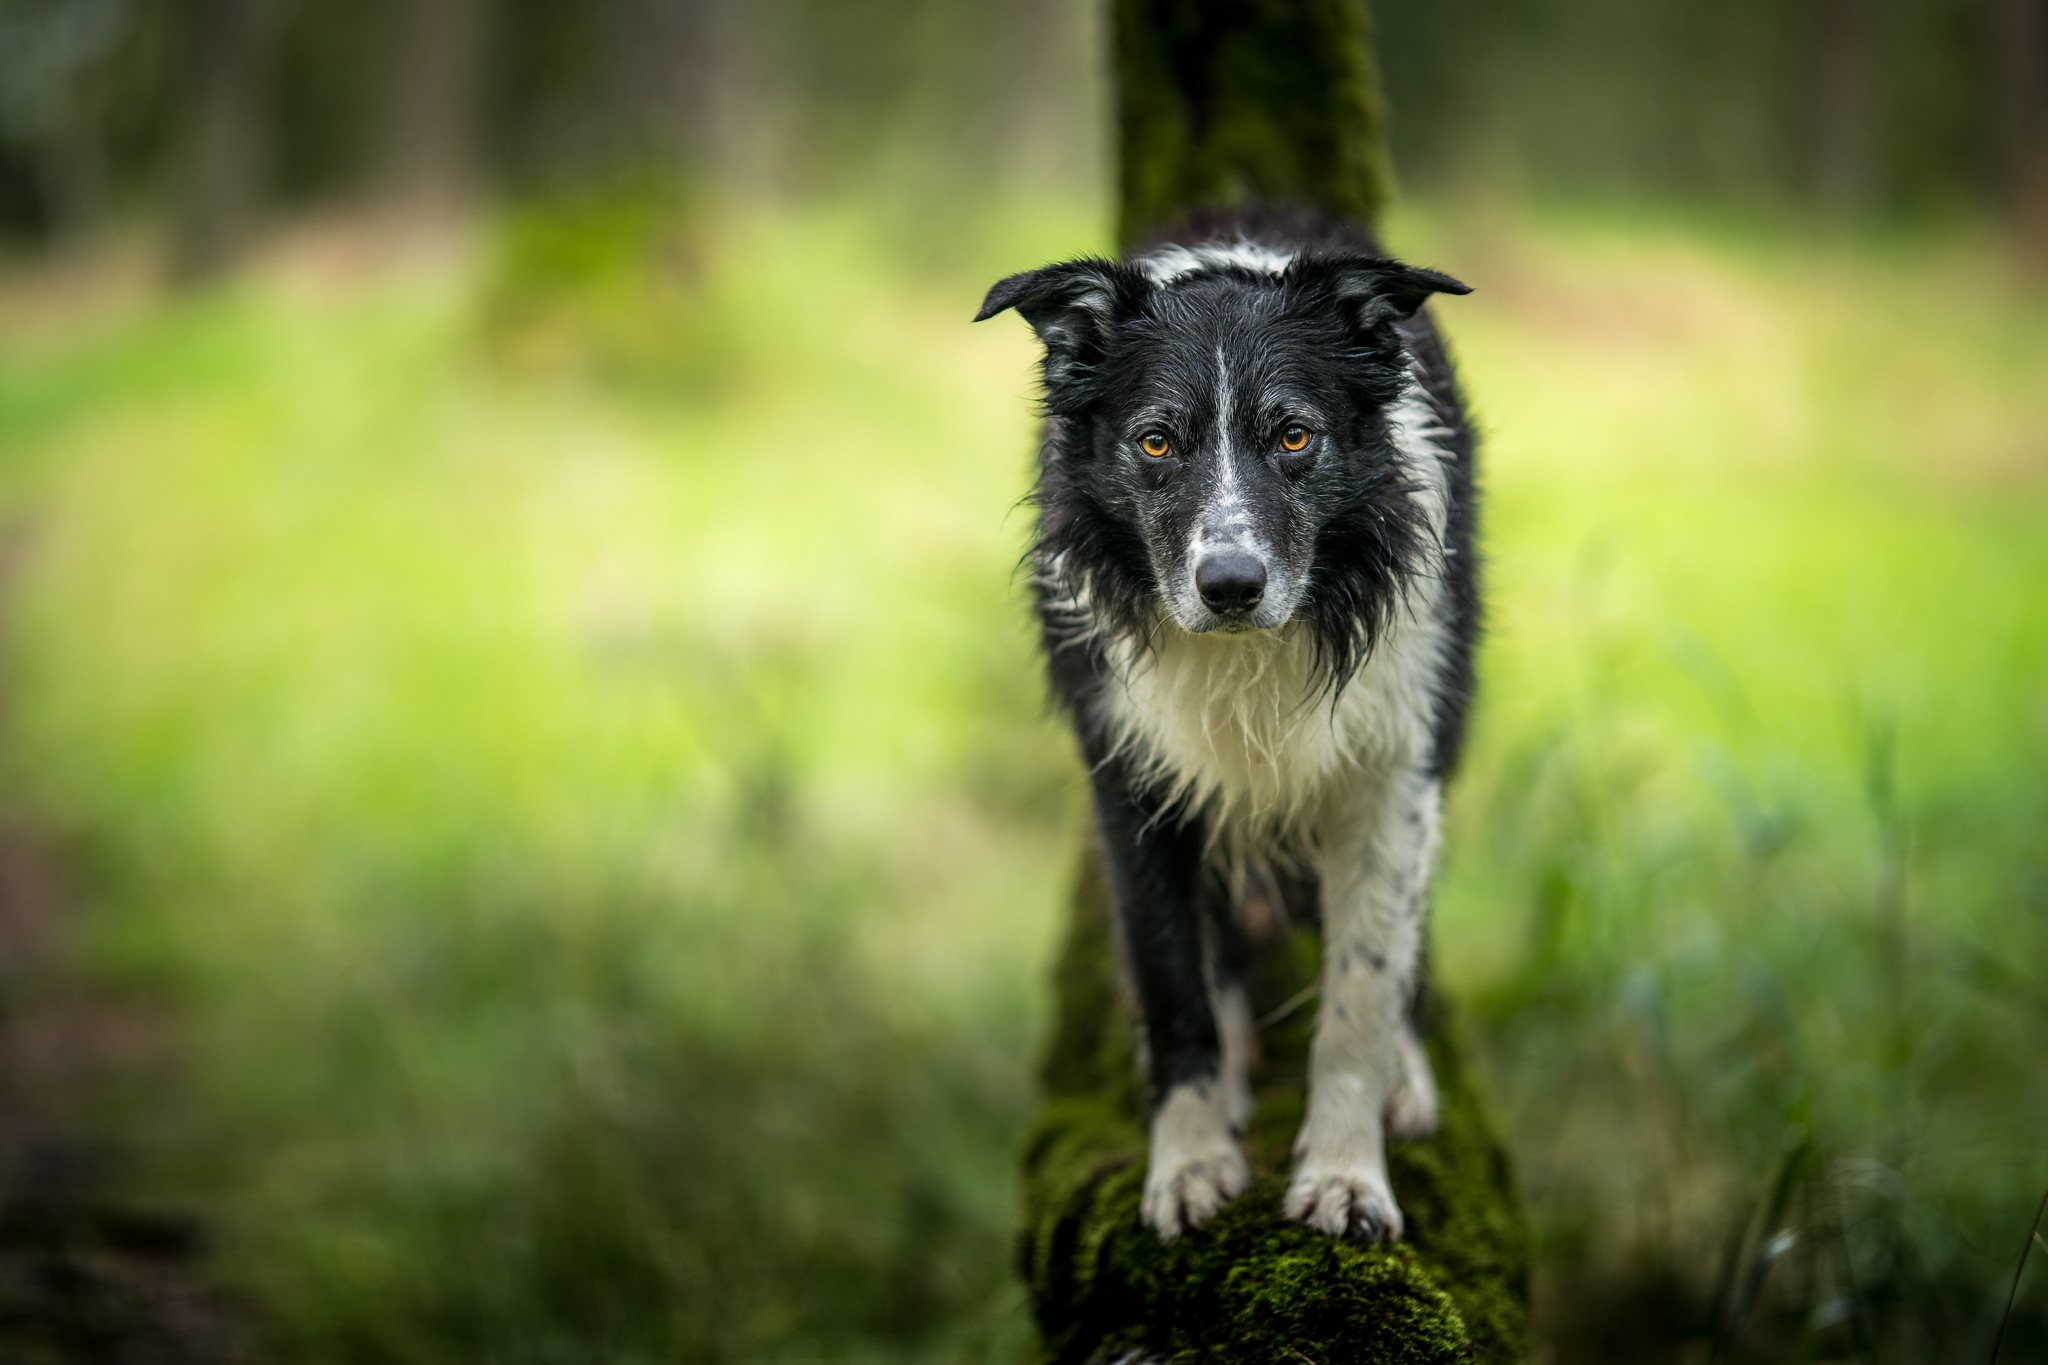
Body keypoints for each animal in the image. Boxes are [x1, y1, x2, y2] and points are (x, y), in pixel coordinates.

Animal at [983, 210, 1482, 1252]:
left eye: (1294, 434)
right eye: (1156, 442)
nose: (1231, 586)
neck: (1251, 651)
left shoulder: (1390, 777)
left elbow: (1361, 994)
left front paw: (1346, 1175)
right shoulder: (1130, 779)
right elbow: (1174, 983)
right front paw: (1191, 1163)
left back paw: (1406, 1075)